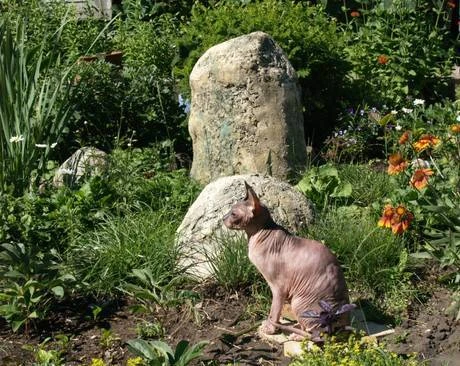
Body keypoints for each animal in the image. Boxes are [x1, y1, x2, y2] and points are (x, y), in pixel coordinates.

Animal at [223, 182, 348, 338]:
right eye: (229, 211)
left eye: (233, 214)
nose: (222, 218)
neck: (257, 235)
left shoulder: (278, 287)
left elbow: (274, 310)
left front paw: (269, 328)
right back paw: (297, 326)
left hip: (299, 301)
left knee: (316, 333)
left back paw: (297, 334)